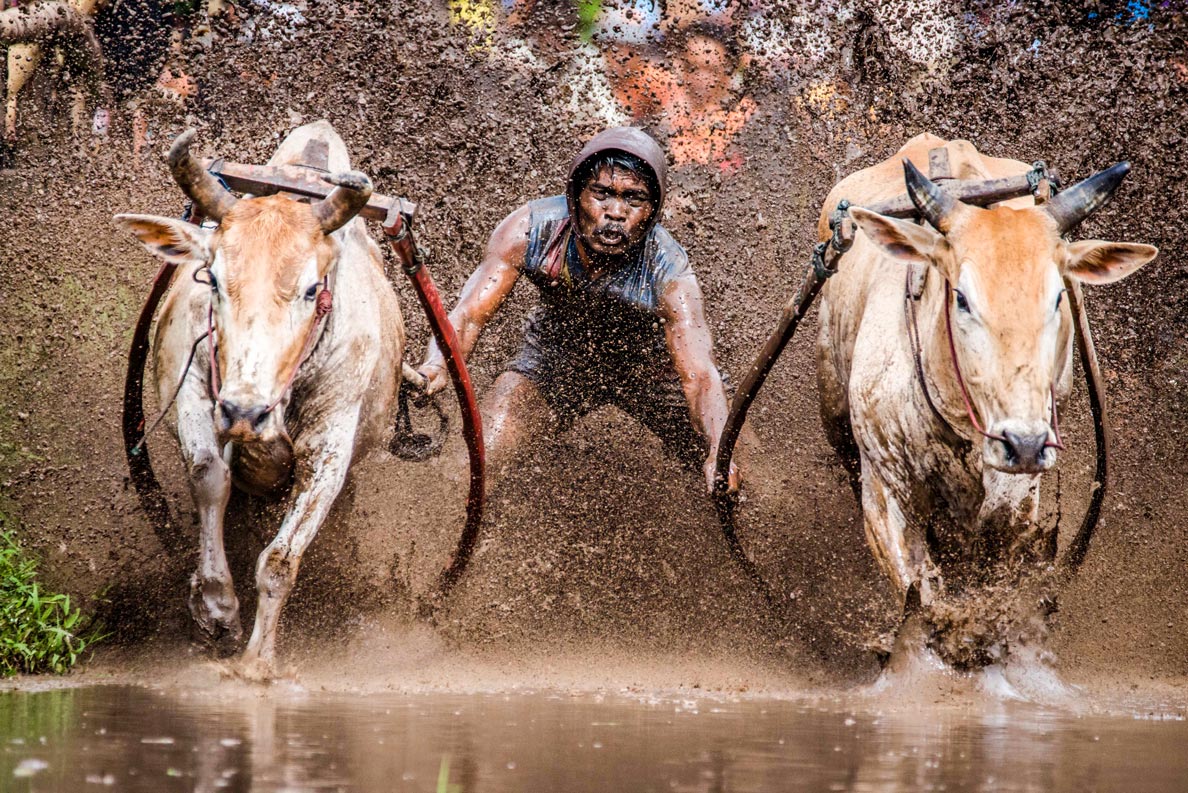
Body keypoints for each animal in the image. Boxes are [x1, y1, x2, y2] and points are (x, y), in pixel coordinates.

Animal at [117, 121, 403, 679]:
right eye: (213, 278)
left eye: (313, 289)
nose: (245, 412)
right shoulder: (192, 394)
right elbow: (210, 477)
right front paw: (215, 607)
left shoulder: (331, 449)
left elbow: (280, 559)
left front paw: (257, 662)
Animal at [817, 132, 1159, 679]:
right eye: (961, 297)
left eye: (1058, 298)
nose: (1024, 443)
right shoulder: (884, 489)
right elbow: (923, 593)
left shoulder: (1019, 485)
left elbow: (992, 563)